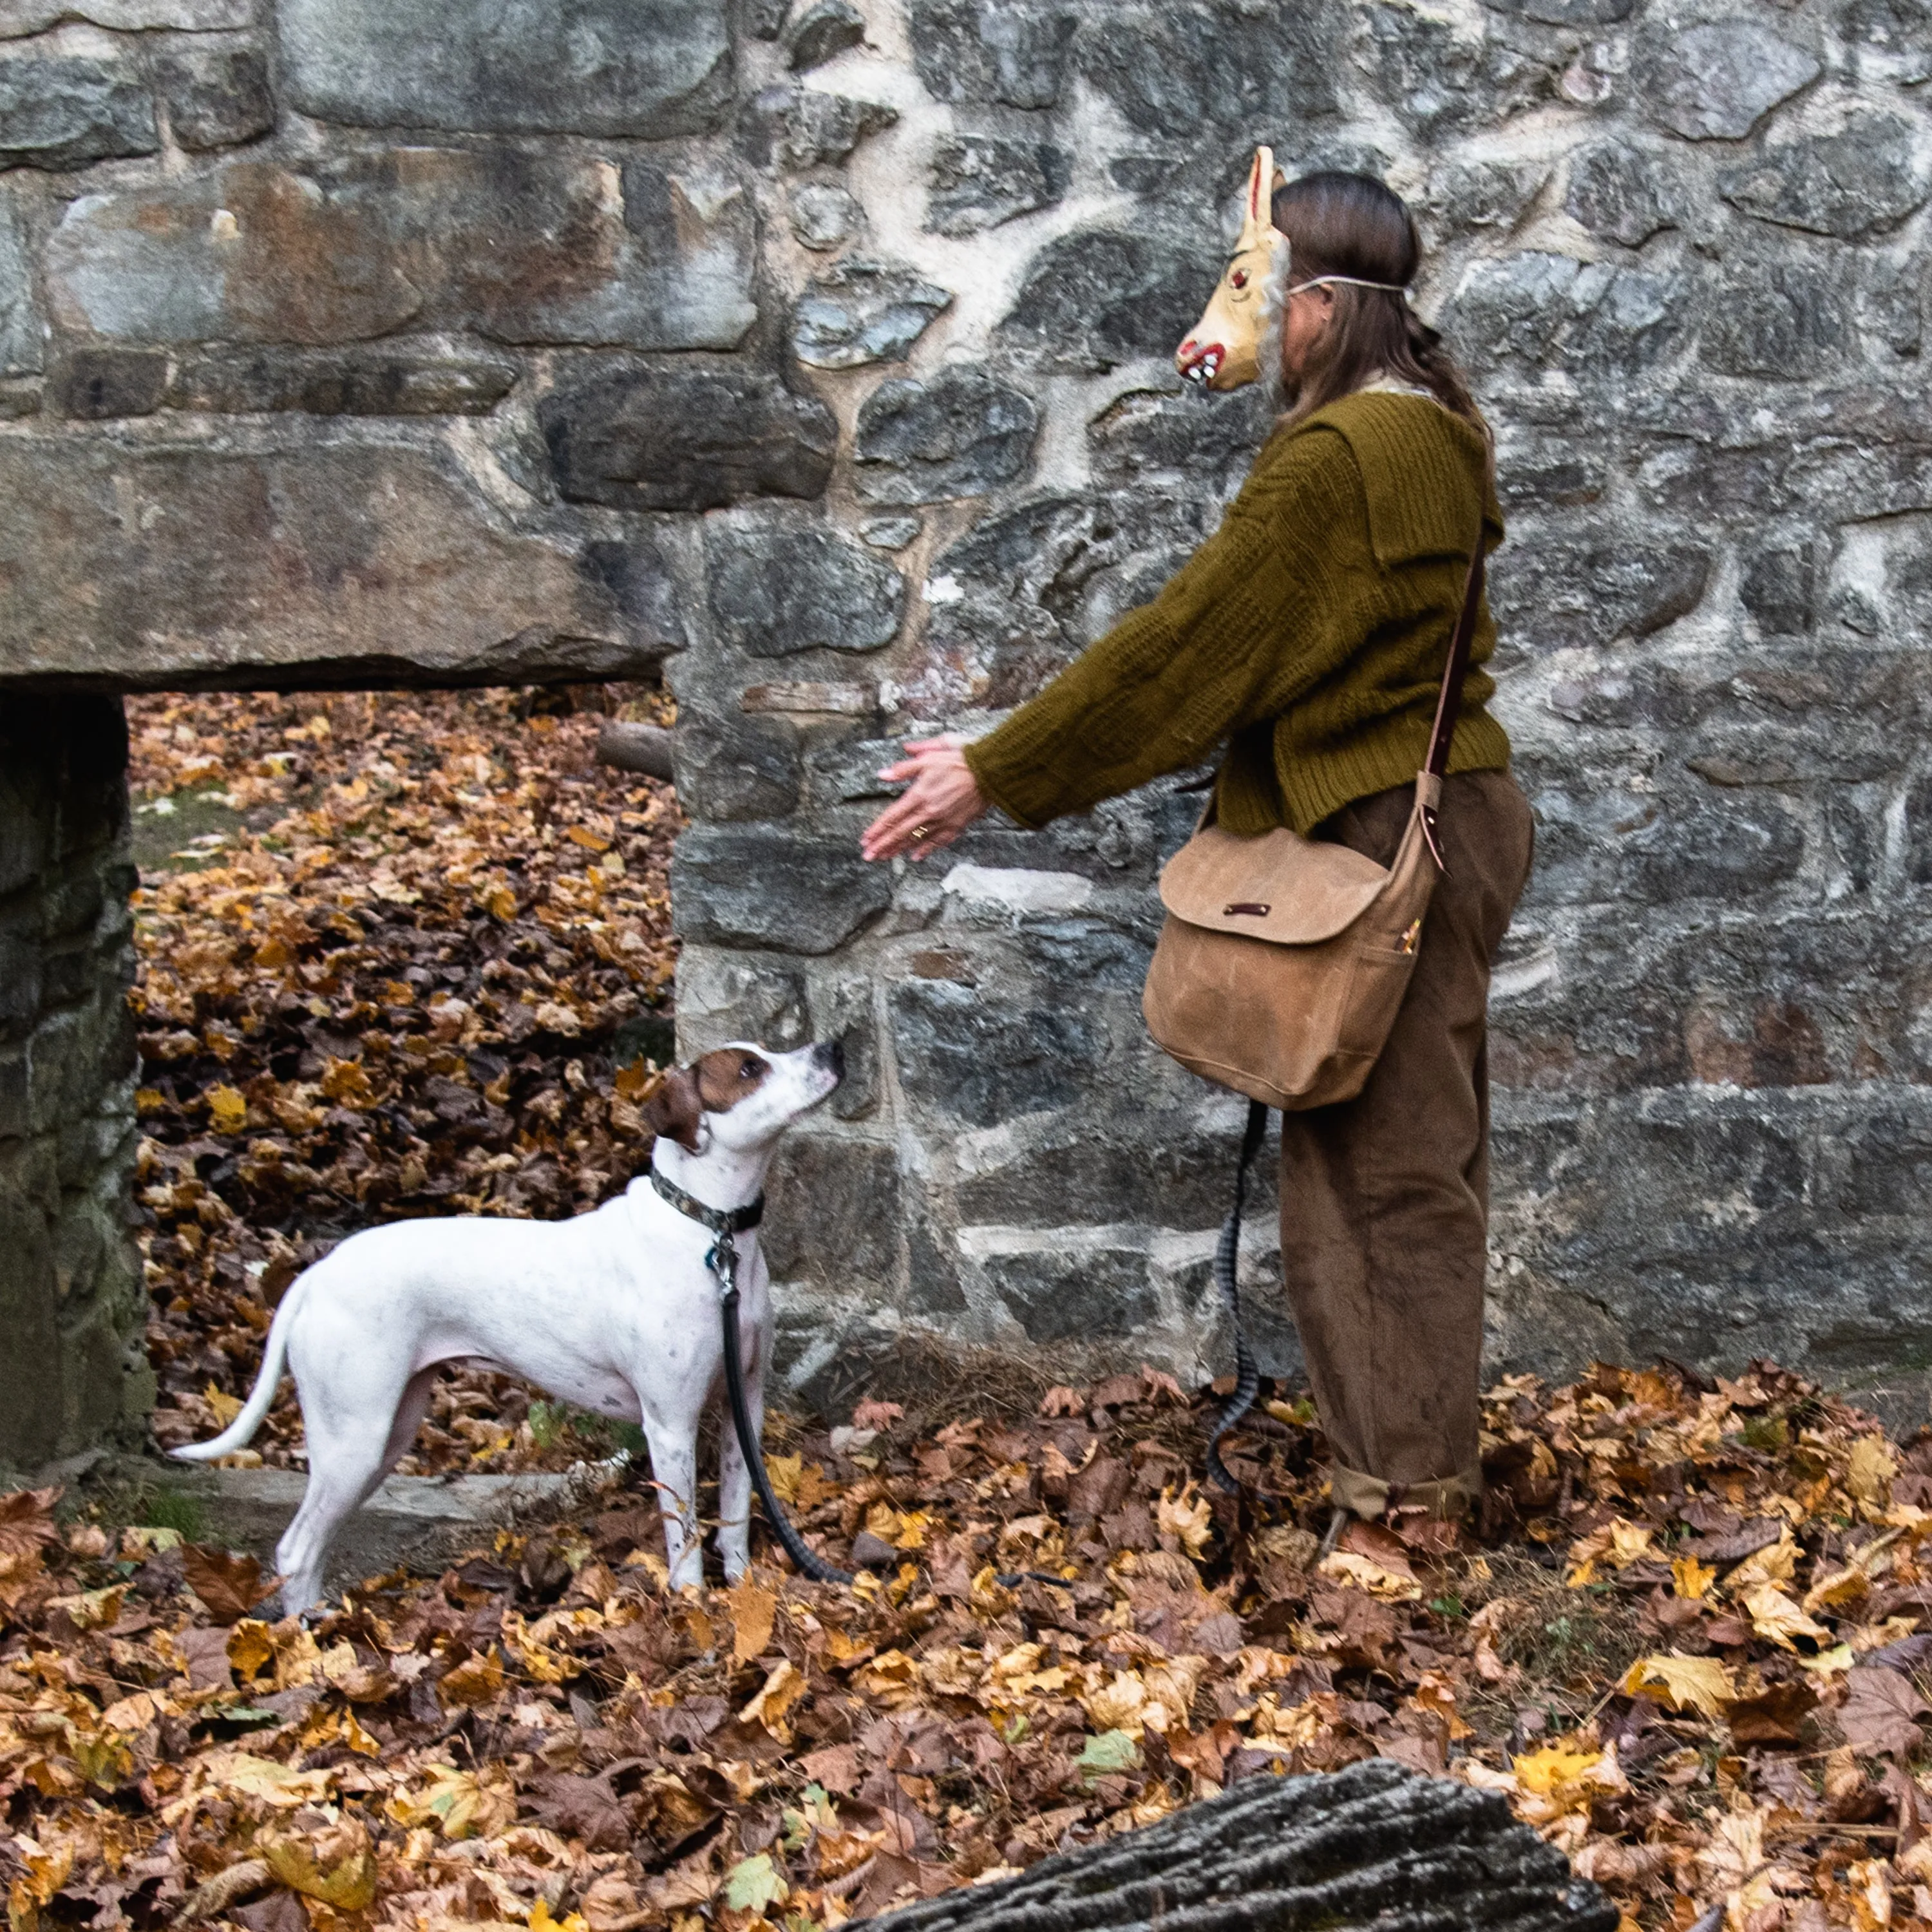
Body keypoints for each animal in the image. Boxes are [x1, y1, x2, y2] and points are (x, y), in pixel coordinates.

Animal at [178, 1043, 842, 1615]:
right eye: (750, 1069)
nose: (833, 1047)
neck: (713, 1234)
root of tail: (317, 1274)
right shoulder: (671, 1426)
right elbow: (683, 1536)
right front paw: (693, 1608)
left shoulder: (741, 1406)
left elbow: (734, 1512)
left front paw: (744, 1590)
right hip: (354, 1441)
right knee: (295, 1549)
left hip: (385, 1434)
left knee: (312, 1550)